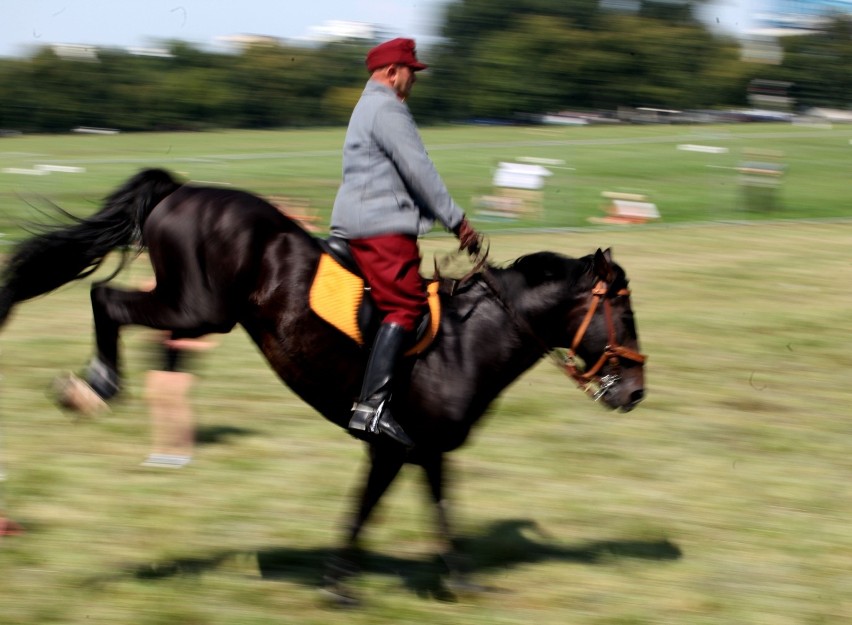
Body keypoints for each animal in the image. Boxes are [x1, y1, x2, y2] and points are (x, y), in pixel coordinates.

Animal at [0, 168, 644, 604]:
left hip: (192, 308)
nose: (635, 391)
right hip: (197, 310)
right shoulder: (395, 447)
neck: (467, 341)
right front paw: (343, 585)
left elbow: (433, 514)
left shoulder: (422, 452)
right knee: (104, 298)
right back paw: (96, 384)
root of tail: (183, 190)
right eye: (623, 311)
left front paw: (453, 582)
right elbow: (371, 511)